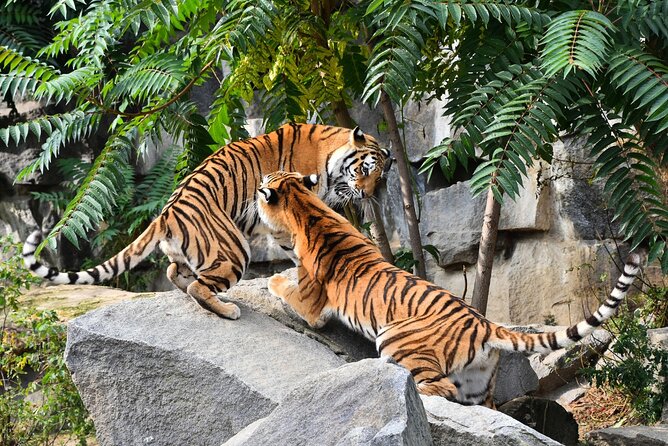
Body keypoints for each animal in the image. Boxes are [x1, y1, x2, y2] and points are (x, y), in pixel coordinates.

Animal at [22, 124, 390, 320]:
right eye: (366, 168)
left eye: (381, 175)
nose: (369, 194)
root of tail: (165, 213)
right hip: (234, 249)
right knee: (199, 285)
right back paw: (228, 310)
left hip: (196, 252)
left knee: (177, 273)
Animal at [256, 171, 641, 407]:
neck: (304, 205)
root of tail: (486, 324)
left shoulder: (313, 307)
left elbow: (286, 288)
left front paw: (272, 280)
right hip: (479, 384)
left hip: (394, 337)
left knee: (439, 386)